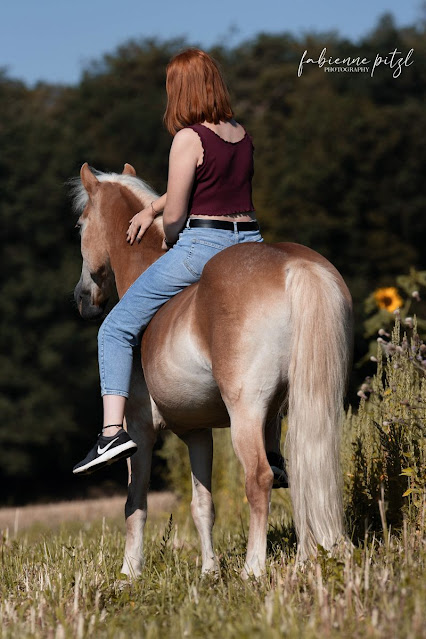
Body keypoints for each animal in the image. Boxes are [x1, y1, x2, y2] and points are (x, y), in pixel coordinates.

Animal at [72, 161, 352, 580]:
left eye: (81, 224)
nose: (82, 298)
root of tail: (293, 264)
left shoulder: (140, 431)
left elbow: (134, 505)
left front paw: (128, 573)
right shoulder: (197, 433)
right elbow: (202, 506)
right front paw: (208, 572)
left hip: (246, 412)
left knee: (259, 479)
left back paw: (253, 568)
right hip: (306, 404)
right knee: (306, 470)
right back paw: (308, 559)